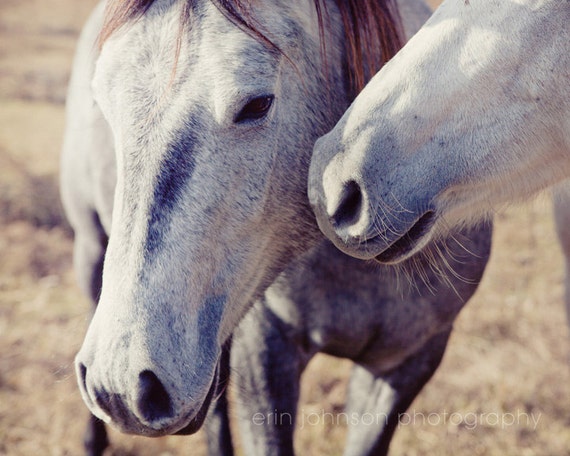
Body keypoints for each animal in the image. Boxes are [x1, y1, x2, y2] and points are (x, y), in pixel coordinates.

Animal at [58, 1, 488, 454]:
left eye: (257, 104)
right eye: (102, 103)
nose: (119, 390)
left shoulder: (407, 363)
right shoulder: (263, 353)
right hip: (93, 250)